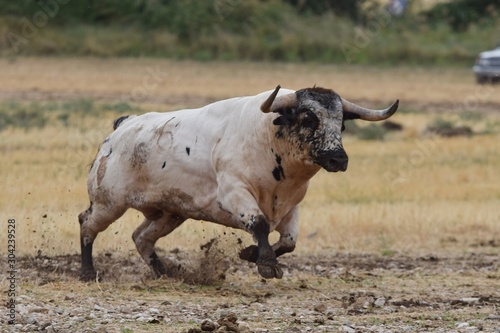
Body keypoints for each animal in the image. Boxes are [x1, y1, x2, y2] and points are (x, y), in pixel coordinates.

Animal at [78, 86, 398, 280]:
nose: (338, 158)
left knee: (141, 237)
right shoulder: (236, 193)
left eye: (341, 123)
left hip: (170, 213)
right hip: (109, 202)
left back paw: (165, 273)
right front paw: (267, 264)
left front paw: (250, 254)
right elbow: (260, 225)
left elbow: (289, 241)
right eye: (308, 118)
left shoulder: (292, 206)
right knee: (87, 224)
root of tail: (123, 125)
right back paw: (87, 272)